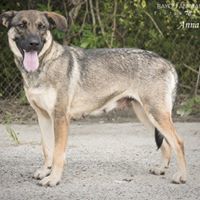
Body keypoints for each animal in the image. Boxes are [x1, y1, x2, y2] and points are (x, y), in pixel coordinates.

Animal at [0, 10, 187, 186]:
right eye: (21, 25)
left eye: (42, 27)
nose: (34, 43)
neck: (43, 66)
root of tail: (168, 63)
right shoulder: (43, 117)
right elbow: (47, 149)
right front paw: (45, 171)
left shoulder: (60, 118)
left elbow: (58, 153)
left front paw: (53, 178)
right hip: (147, 117)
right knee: (166, 145)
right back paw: (161, 168)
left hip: (156, 115)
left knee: (178, 142)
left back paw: (182, 176)